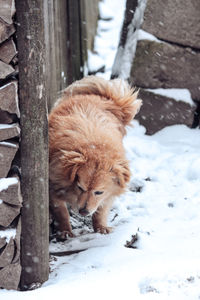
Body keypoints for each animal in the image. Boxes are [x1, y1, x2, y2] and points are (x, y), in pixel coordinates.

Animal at [49, 76, 141, 240]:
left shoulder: (108, 194)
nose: (83, 211)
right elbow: (62, 212)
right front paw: (65, 231)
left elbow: (100, 211)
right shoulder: (54, 187)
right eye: (80, 187)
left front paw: (101, 227)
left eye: (98, 192)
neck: (95, 146)